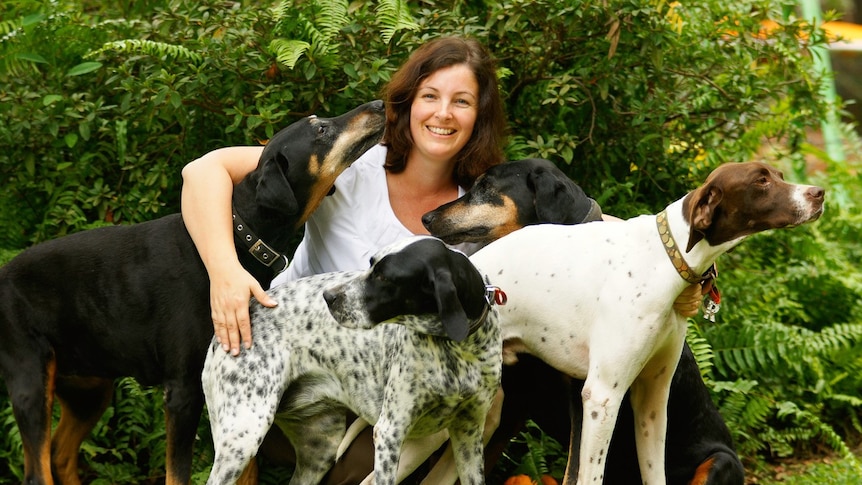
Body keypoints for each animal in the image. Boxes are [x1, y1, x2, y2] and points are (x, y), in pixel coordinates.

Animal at [0, 100, 384, 482]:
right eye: (320, 130)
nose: (379, 104)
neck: (241, 236)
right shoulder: (184, 389)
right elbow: (177, 472)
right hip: (32, 382)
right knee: (38, 468)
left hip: (89, 388)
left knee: (61, 454)